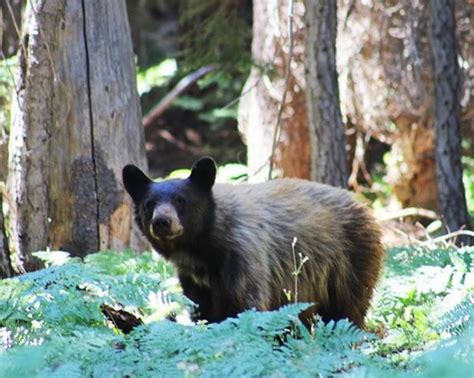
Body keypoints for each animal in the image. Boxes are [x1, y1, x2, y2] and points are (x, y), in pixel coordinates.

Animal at [123, 157, 386, 328]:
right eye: (149, 204)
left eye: (181, 200)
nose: (162, 222)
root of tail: (361, 202)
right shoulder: (193, 277)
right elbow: (200, 306)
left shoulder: (243, 255)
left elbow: (244, 304)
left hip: (351, 259)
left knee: (349, 305)